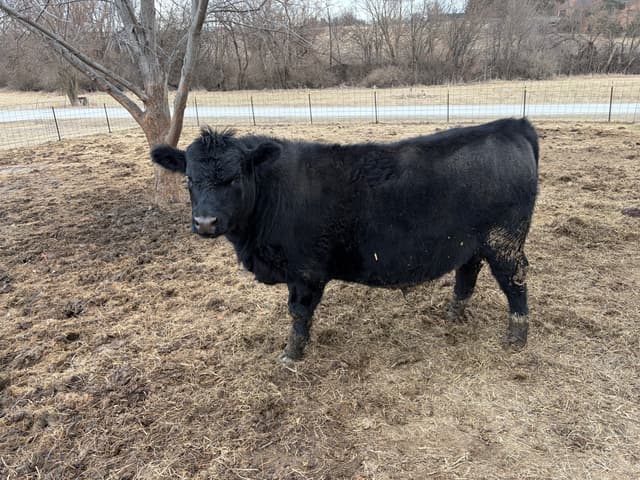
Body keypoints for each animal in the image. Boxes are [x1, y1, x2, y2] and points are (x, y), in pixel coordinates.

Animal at [151, 118, 539, 363]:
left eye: (233, 179)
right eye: (189, 180)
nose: (205, 222)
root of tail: (509, 124)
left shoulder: (305, 271)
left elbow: (298, 313)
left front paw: (291, 354)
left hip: (504, 241)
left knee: (515, 280)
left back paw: (517, 336)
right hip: (472, 241)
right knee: (467, 272)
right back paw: (453, 314)